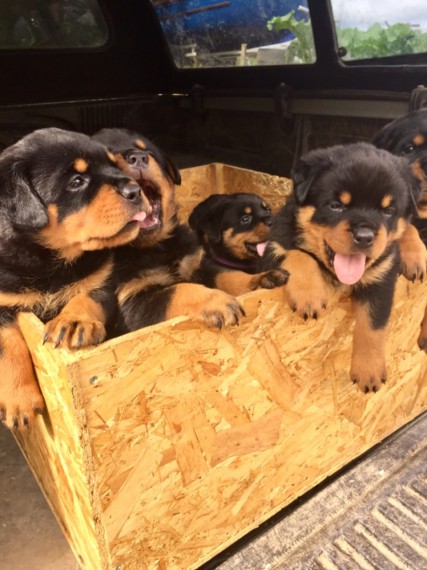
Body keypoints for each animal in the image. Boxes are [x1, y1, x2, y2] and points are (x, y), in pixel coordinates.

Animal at [0, 127, 151, 426]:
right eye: (77, 181)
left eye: (114, 165)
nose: (135, 190)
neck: (53, 264)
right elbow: (7, 344)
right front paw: (19, 401)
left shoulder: (101, 280)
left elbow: (85, 297)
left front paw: (73, 322)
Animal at [93, 129, 288, 332]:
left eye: (147, 150)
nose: (138, 157)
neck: (156, 247)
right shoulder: (134, 301)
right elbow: (179, 289)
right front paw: (216, 301)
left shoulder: (199, 263)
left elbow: (228, 275)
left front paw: (261, 277)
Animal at [260, 141, 420, 390]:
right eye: (336, 206)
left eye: (388, 211)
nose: (364, 237)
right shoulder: (272, 248)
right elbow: (299, 254)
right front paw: (309, 295)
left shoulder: (381, 278)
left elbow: (373, 326)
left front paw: (369, 371)